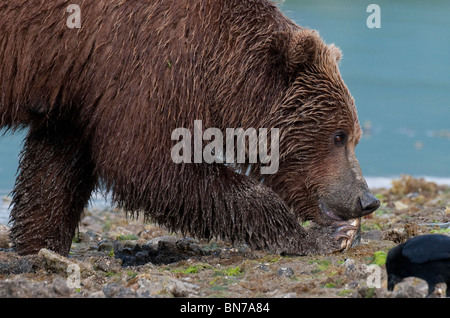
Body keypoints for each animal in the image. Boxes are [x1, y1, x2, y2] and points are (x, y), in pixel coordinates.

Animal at [0, 0, 380, 256]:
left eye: (356, 136)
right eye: (338, 135)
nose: (367, 200)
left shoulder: (78, 88)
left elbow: (55, 171)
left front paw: (40, 247)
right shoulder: (147, 61)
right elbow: (150, 164)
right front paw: (323, 237)